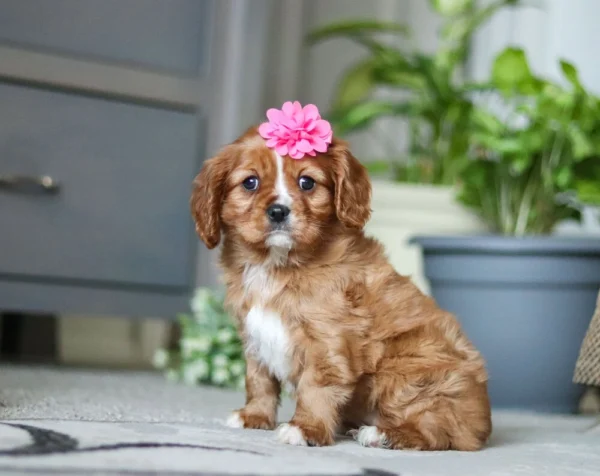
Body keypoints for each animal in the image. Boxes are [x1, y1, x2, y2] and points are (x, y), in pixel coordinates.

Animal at [192, 123, 492, 450]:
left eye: (307, 182)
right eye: (250, 182)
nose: (278, 211)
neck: (277, 264)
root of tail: (481, 427)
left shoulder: (328, 341)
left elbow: (315, 386)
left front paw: (305, 429)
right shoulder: (254, 336)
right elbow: (259, 380)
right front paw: (254, 417)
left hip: (406, 368)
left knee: (434, 433)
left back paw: (380, 434)